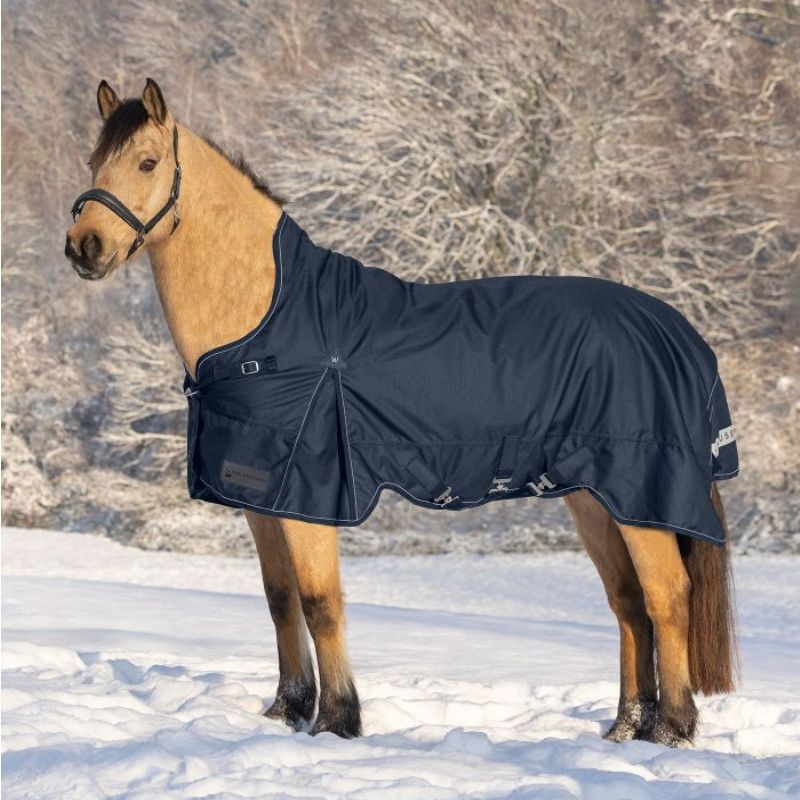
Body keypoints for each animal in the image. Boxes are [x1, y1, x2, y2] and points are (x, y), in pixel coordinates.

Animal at [65, 78, 737, 746]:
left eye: (147, 162)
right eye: (94, 162)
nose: (84, 247)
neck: (268, 324)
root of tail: (678, 332)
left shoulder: (311, 496)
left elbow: (320, 602)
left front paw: (338, 720)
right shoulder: (263, 500)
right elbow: (280, 600)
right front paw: (287, 711)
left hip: (640, 498)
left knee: (667, 596)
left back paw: (672, 729)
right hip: (595, 498)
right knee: (627, 601)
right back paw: (627, 726)